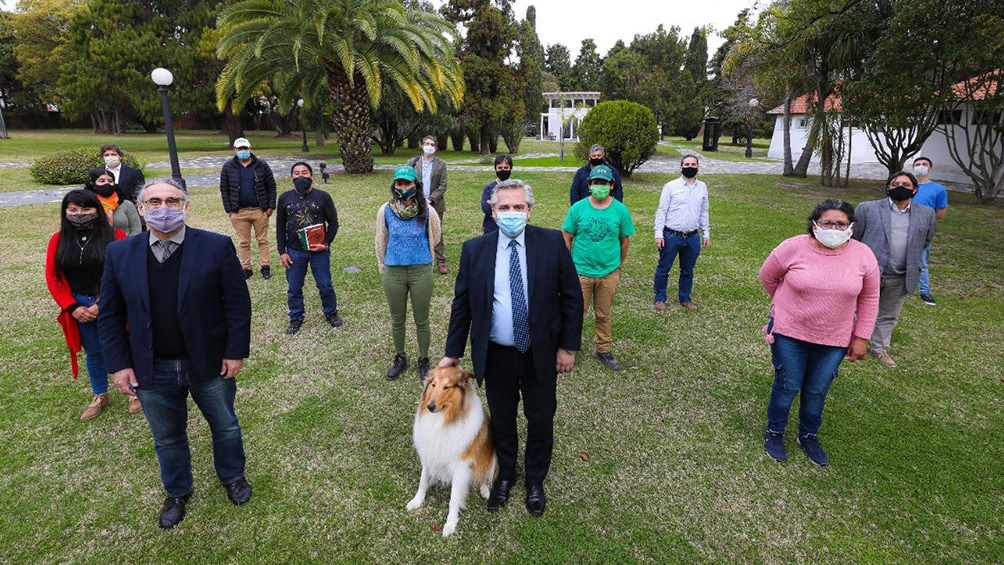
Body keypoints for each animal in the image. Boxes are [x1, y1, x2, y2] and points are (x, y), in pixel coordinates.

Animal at [405, 367, 495, 533]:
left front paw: (450, 524)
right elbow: (422, 481)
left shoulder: (460, 467)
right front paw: (416, 501)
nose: (430, 406)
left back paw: (485, 490)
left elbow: (454, 498)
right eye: (433, 384)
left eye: (447, 387)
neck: (442, 419)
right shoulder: (429, 454)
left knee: (484, 474)